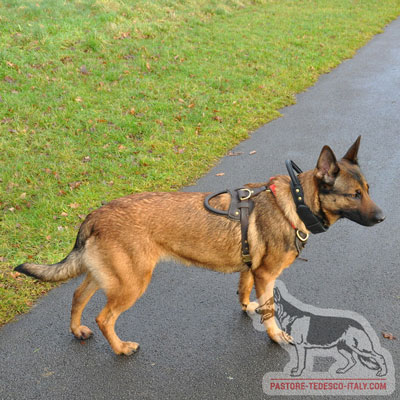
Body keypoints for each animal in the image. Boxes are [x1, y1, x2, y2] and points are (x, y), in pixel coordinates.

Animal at [14, 136, 384, 354]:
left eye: (367, 189)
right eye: (355, 195)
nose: (382, 218)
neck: (296, 201)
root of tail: (95, 214)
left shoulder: (252, 271)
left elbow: (244, 292)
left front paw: (247, 307)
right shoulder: (267, 275)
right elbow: (270, 312)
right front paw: (276, 336)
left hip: (106, 276)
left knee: (78, 297)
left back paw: (77, 330)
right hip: (131, 284)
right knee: (105, 317)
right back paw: (120, 348)